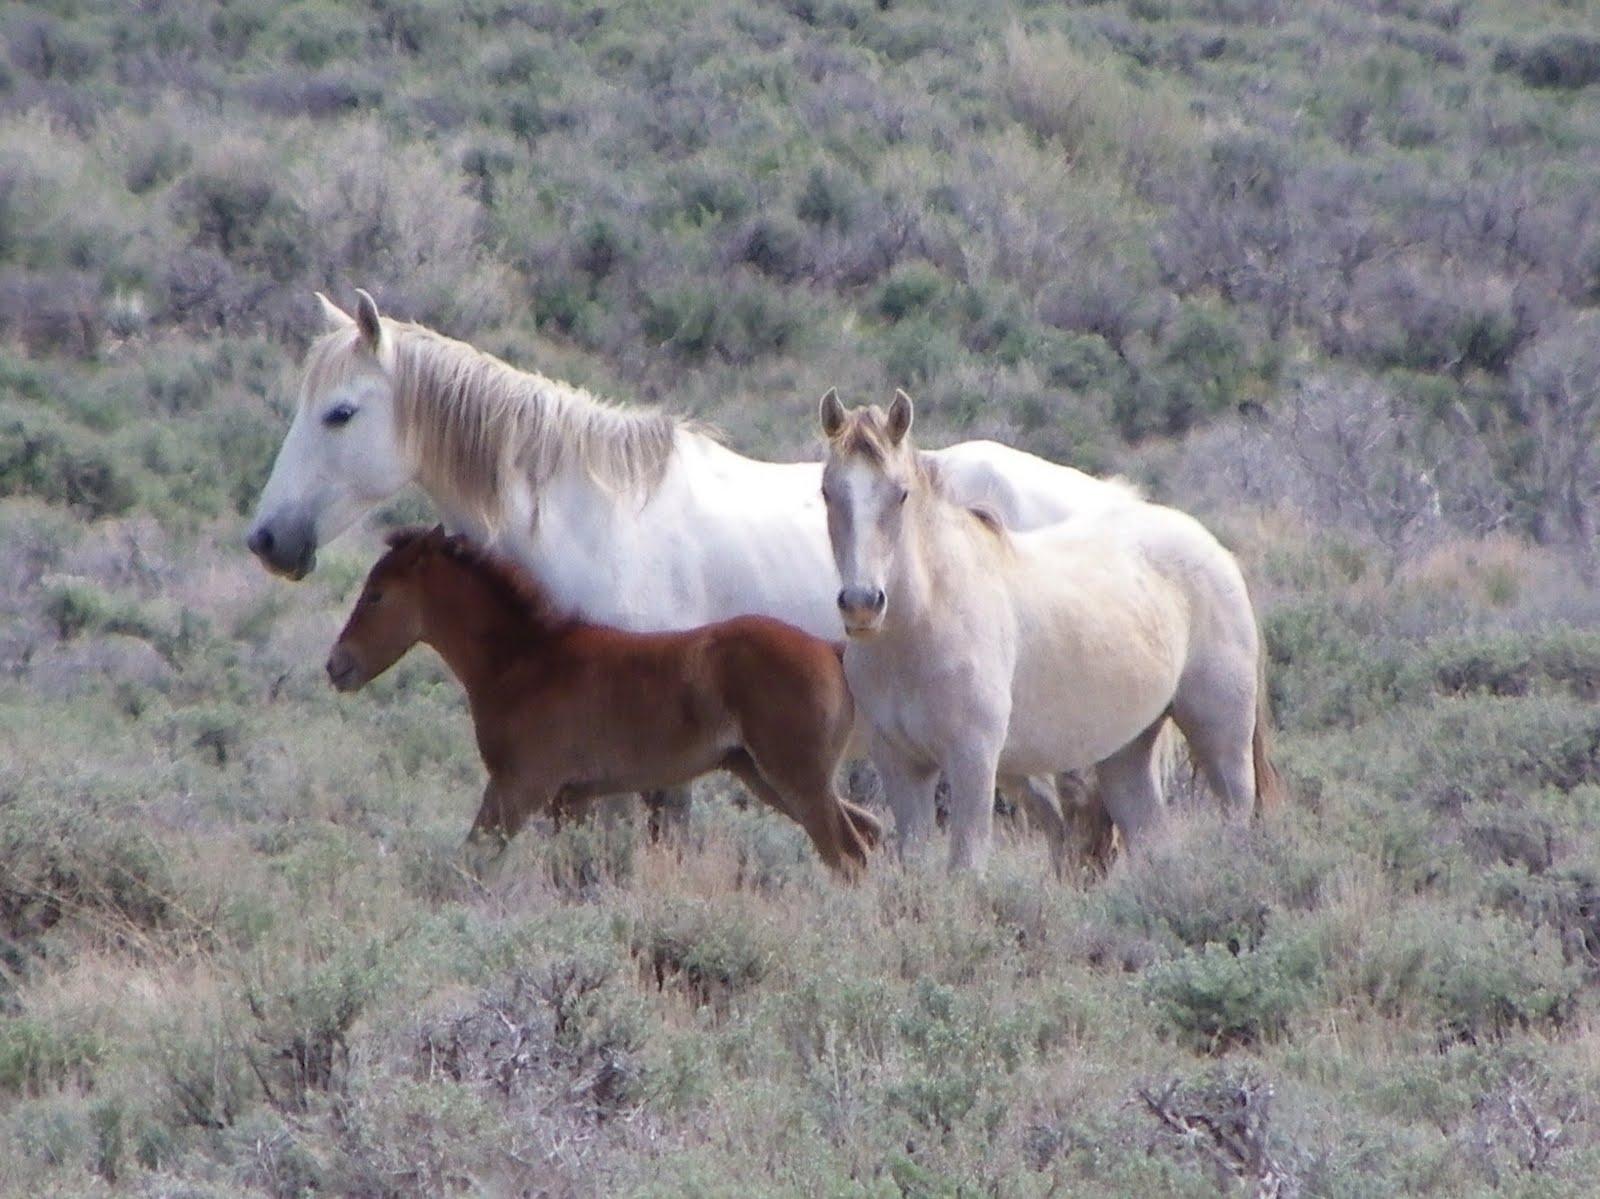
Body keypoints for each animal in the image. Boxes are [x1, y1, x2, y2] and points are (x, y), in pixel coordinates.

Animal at [326, 526, 883, 879]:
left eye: (376, 594)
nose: (336, 665)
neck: (525, 659)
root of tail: (830, 649)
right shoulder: (569, 800)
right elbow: (576, 875)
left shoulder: (517, 788)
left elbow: (471, 861)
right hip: (764, 777)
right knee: (868, 833)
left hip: (795, 779)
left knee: (848, 854)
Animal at [819, 390, 1284, 872]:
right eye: (827, 492)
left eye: (901, 494)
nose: (862, 604)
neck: (924, 622)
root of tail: (1216, 550)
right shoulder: (902, 767)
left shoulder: (973, 761)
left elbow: (967, 864)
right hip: (1126, 752)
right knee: (1150, 836)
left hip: (1221, 738)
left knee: (1235, 811)